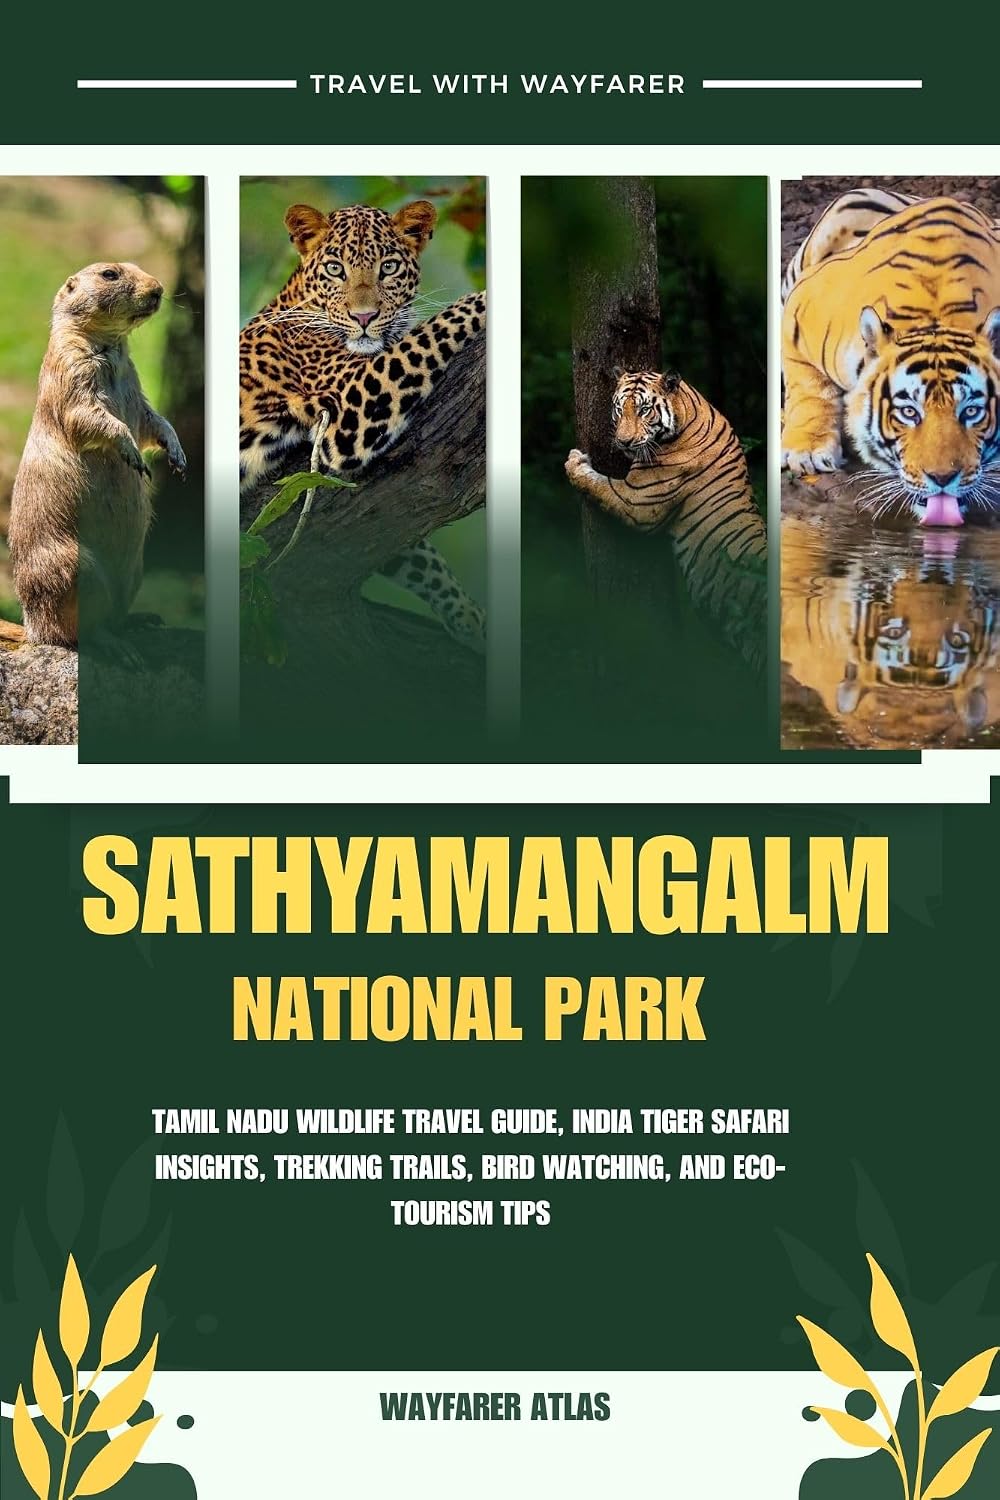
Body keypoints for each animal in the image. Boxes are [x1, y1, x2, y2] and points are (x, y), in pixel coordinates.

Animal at [564, 369, 767, 669]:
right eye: (619, 409)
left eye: (644, 410)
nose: (623, 442)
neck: (690, 410)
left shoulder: (636, 500)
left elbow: (599, 484)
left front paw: (574, 463)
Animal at [781, 191, 1000, 527]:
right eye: (908, 412)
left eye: (972, 411)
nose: (943, 478)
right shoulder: (799, 310)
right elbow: (809, 388)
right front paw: (808, 451)